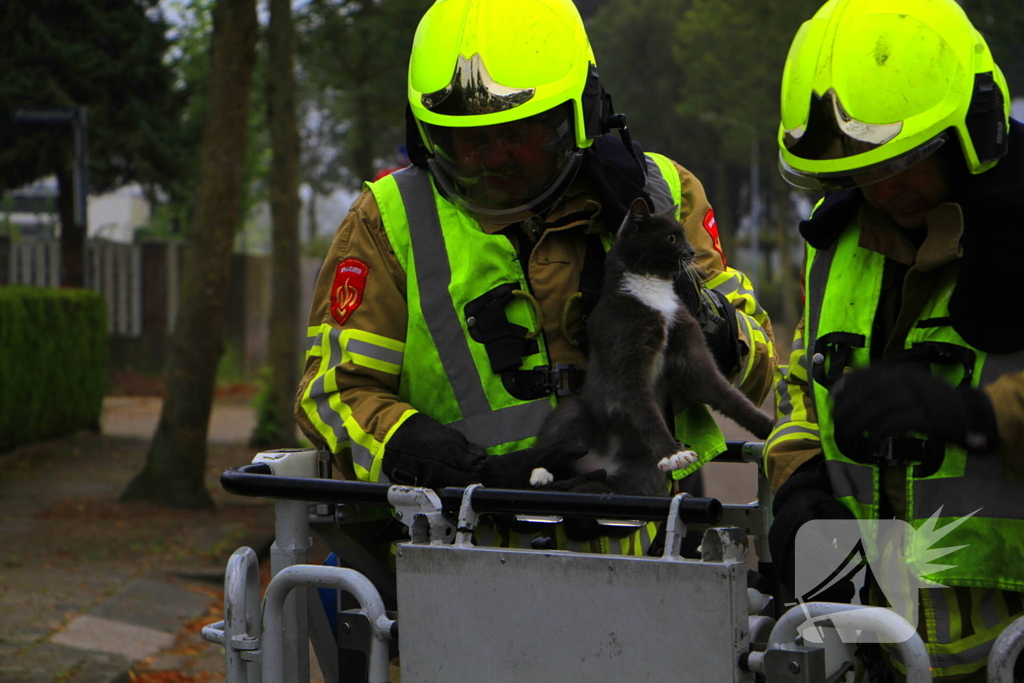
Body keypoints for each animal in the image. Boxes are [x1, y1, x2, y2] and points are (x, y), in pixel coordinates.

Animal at [532, 197, 770, 501]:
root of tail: (601, 464)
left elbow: (727, 395)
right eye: (671, 238)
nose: (691, 251)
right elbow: (644, 408)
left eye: (683, 235)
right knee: (557, 441)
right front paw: (673, 455)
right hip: (575, 413)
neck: (653, 291)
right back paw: (541, 473)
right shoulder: (626, 354)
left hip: (641, 472)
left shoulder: (690, 352)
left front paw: (772, 427)